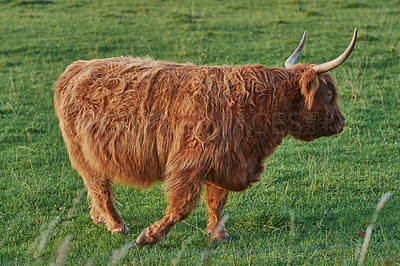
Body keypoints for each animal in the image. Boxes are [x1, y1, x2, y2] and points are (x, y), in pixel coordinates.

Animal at [54, 28, 358, 245]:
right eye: (328, 95)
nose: (341, 122)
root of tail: (77, 67)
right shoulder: (189, 164)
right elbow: (183, 206)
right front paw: (149, 236)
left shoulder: (226, 161)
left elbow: (217, 201)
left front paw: (218, 234)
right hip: (82, 153)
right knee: (99, 186)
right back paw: (117, 225)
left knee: (96, 187)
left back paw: (100, 219)